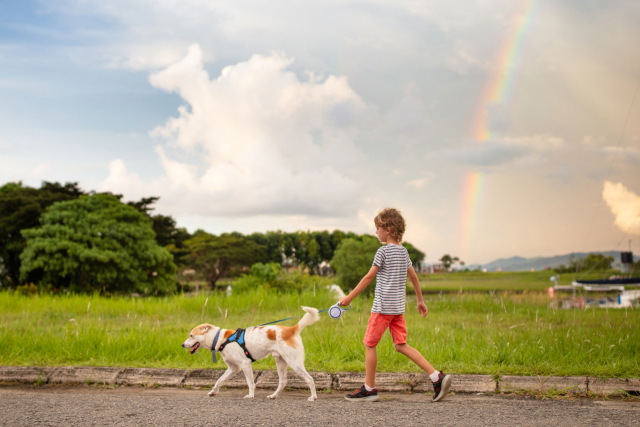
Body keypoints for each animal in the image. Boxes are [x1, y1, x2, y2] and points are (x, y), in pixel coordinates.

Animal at [180, 308, 320, 402]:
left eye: (191, 335)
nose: (182, 345)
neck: (220, 339)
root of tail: (290, 330)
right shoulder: (233, 368)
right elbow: (219, 380)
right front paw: (213, 392)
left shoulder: (245, 364)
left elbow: (250, 383)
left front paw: (251, 395)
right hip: (280, 362)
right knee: (283, 382)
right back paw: (273, 396)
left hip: (294, 363)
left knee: (310, 379)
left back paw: (313, 397)